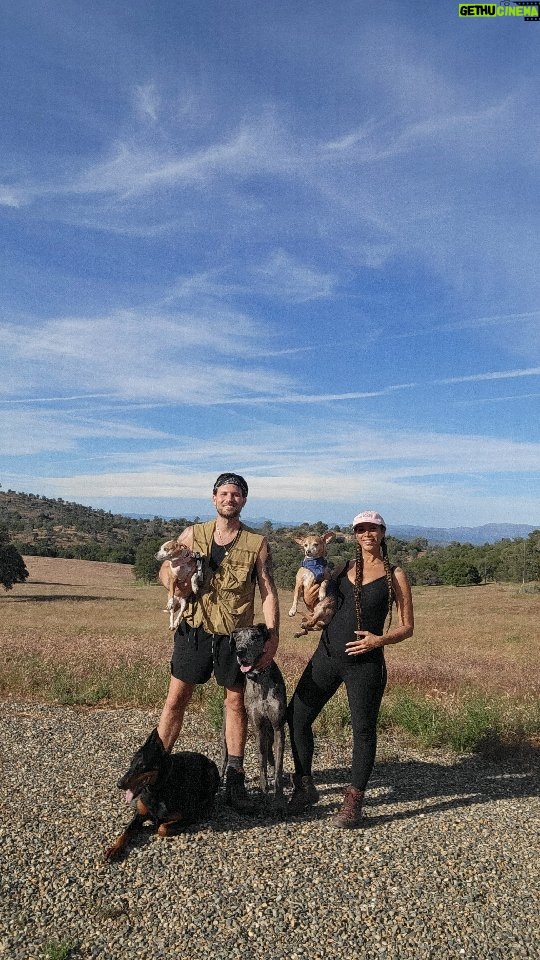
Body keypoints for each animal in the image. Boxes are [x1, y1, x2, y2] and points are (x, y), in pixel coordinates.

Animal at [105, 728, 219, 864]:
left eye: (142, 765)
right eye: (131, 763)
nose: (119, 784)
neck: (156, 791)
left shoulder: (188, 817)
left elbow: (161, 828)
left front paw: (151, 827)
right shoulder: (139, 814)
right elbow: (126, 831)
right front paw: (114, 848)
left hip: (211, 771)